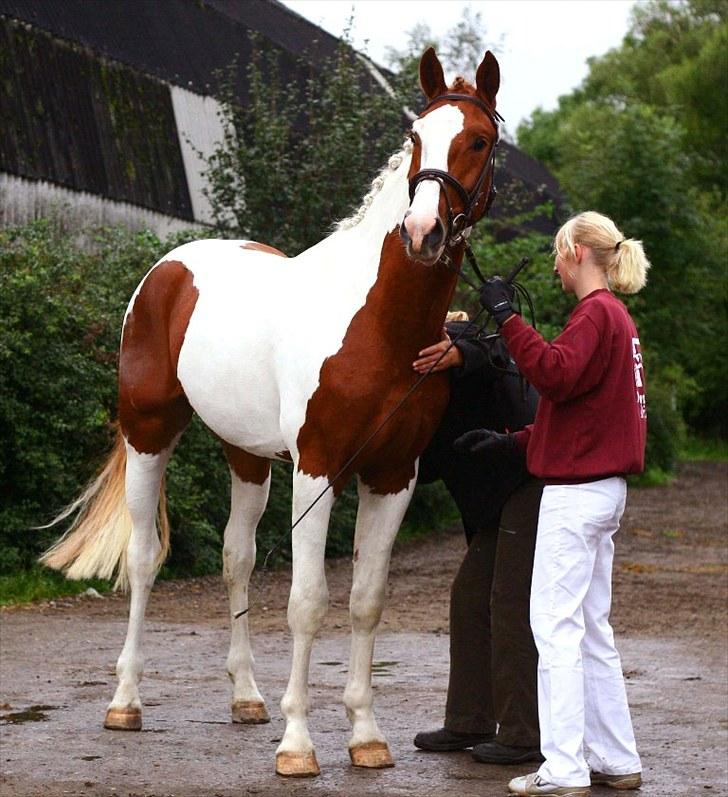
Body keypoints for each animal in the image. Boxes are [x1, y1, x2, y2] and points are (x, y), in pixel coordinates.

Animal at [42, 46, 504, 776]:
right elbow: (308, 603)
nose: (422, 232)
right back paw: (125, 701)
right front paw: (297, 745)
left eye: (480, 141)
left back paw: (246, 697)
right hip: (150, 433)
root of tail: (168, 270)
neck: (378, 325)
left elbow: (365, 602)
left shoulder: (392, 475)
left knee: (237, 558)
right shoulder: (317, 469)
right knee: (143, 559)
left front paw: (366, 736)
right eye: (414, 137)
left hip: (247, 456)